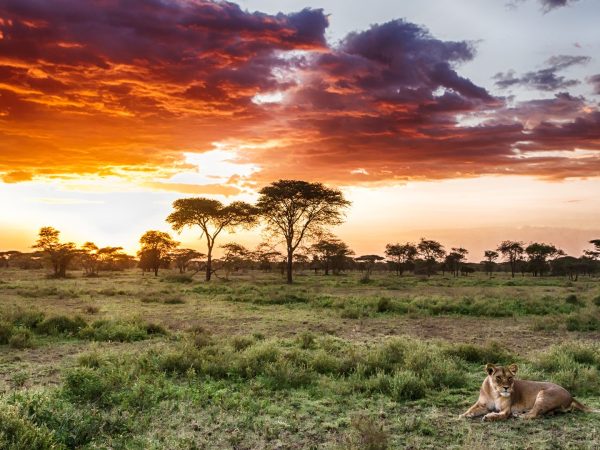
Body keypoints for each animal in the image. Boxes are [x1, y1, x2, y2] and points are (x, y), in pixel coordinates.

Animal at [460, 362, 596, 422]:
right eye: (498, 377)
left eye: (510, 378)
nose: (506, 388)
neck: (495, 393)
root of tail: (571, 396)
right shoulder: (482, 405)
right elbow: (471, 408)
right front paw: (464, 415)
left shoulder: (506, 410)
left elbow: (500, 415)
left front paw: (489, 417)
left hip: (543, 395)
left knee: (534, 414)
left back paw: (519, 415)